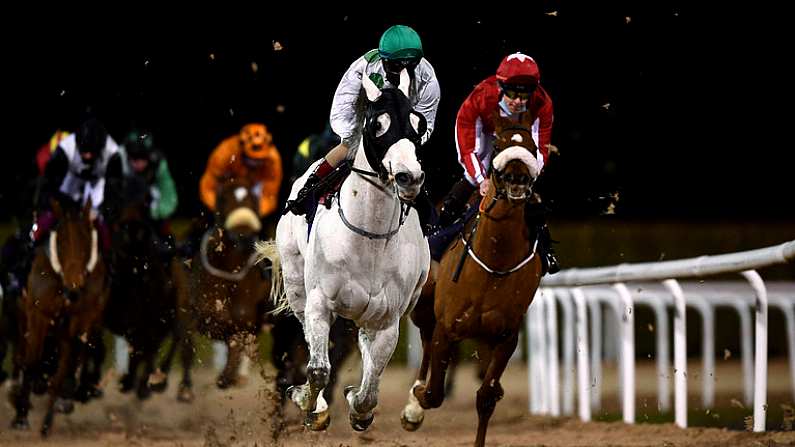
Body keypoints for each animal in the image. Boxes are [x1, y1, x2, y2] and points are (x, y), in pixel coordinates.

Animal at [10, 200, 110, 438]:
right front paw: (21, 417)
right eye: (62, 243)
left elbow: (66, 365)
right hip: (22, 316)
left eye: (85, 241)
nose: (75, 283)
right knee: (22, 354)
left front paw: (48, 420)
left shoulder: (79, 320)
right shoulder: (38, 314)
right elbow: (31, 363)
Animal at [402, 114, 544, 447]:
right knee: (425, 341)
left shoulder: (505, 336)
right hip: (424, 309)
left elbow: (486, 397)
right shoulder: (446, 327)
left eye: (532, 147)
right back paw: (413, 405)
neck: (494, 263)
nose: (517, 179)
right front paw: (417, 400)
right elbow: (433, 393)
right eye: (500, 146)